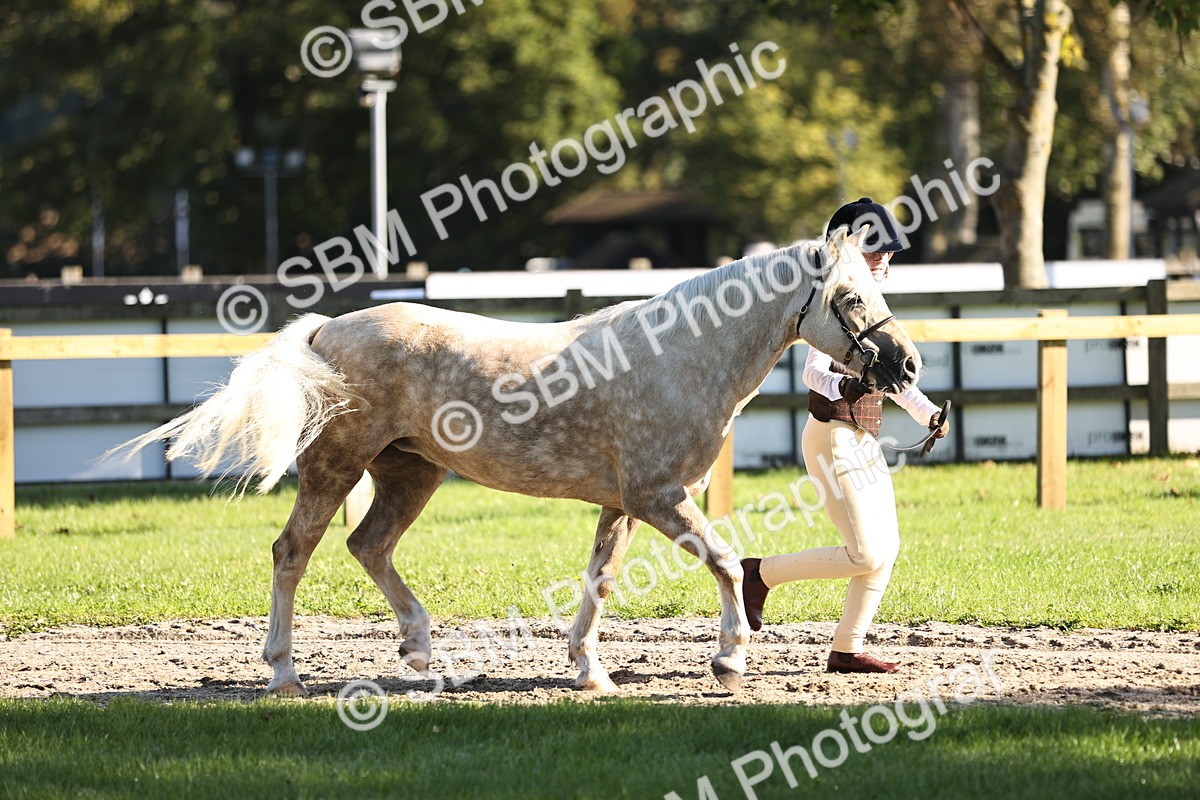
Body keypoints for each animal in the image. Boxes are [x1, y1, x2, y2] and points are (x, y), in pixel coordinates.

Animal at [116, 226, 921, 696]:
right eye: (850, 297)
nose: (906, 364)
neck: (679, 357)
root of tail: (325, 331)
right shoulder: (659, 497)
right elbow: (725, 561)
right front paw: (728, 660)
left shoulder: (622, 505)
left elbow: (600, 581)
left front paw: (589, 671)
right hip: (336, 467)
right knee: (294, 552)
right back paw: (284, 671)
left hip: (411, 472)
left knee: (367, 545)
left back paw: (421, 652)